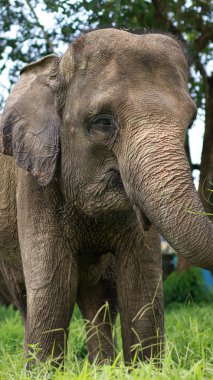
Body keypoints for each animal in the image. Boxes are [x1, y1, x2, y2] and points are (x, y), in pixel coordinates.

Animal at [0, 28, 213, 366]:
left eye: (191, 120)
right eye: (102, 123)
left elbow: (141, 282)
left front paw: (143, 368)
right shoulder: (35, 183)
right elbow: (52, 286)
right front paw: (40, 370)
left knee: (99, 297)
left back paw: (100, 366)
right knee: (26, 297)